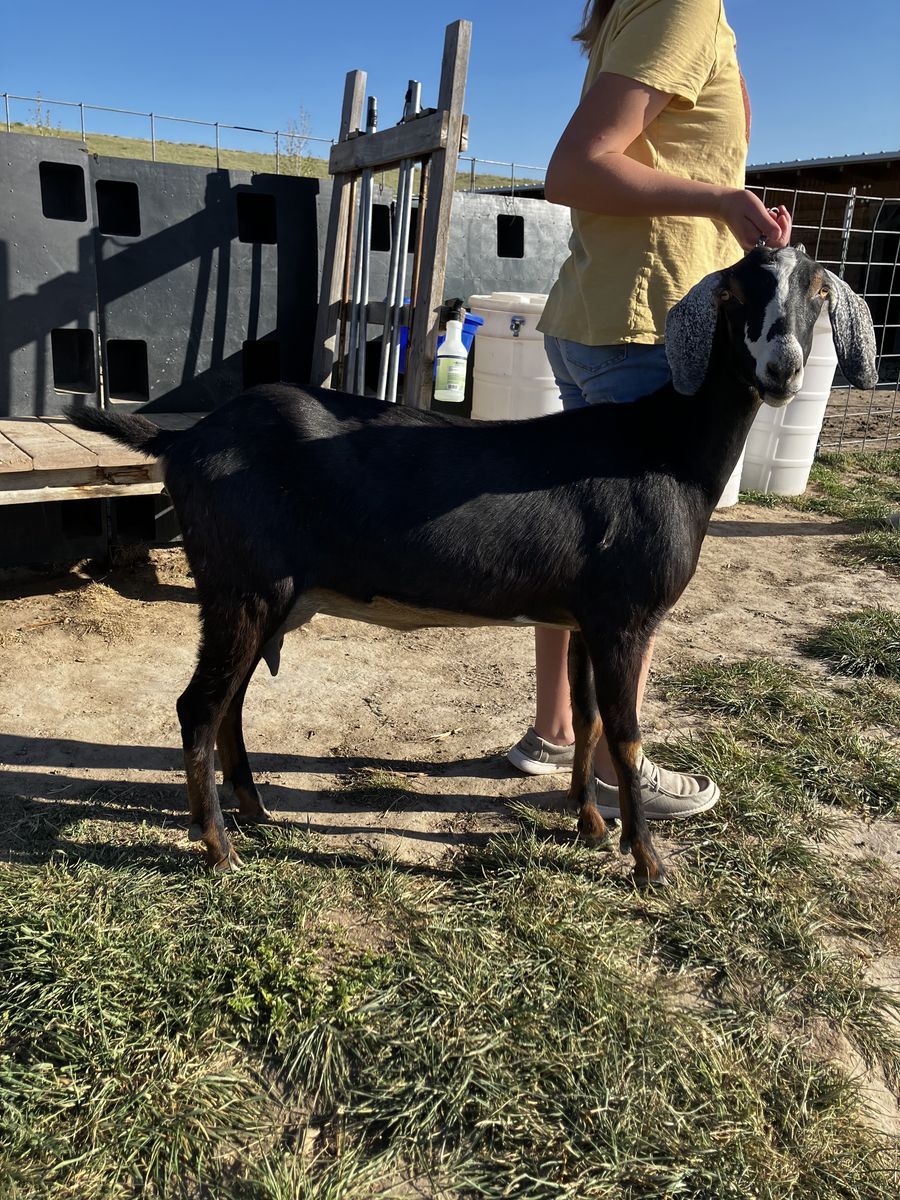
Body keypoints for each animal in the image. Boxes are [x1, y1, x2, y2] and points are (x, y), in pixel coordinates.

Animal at [66, 246, 877, 883]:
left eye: (816, 290)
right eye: (736, 293)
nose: (782, 369)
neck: (665, 445)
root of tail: (184, 441)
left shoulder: (583, 616)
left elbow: (586, 721)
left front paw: (589, 824)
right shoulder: (626, 617)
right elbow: (625, 733)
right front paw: (649, 864)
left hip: (266, 597)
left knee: (228, 703)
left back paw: (258, 812)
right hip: (244, 586)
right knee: (198, 707)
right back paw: (218, 848)